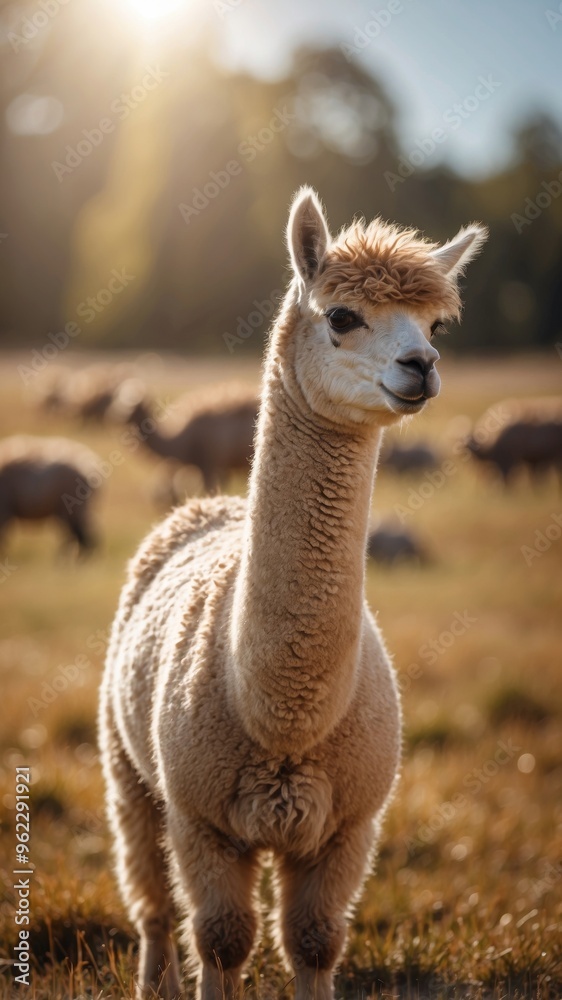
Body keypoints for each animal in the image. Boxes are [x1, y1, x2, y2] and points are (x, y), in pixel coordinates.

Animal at [98, 188, 484, 1000]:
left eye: (436, 326)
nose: (422, 366)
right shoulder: (202, 818)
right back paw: (152, 981)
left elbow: (313, 941)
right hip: (127, 765)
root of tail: (211, 505)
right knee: (150, 896)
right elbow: (221, 940)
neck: (282, 717)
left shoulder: (349, 827)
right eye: (342, 316)